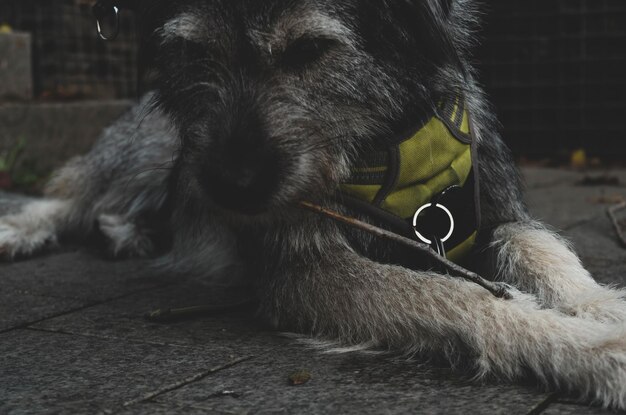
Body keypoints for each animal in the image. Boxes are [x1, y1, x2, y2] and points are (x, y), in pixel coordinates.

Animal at [1, 0, 624, 410]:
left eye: (309, 49)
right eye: (196, 52)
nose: (231, 186)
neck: (388, 149)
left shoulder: (494, 213)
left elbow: (542, 249)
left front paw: (600, 307)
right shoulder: (306, 271)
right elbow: (459, 296)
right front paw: (594, 351)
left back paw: (128, 234)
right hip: (154, 152)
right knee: (72, 195)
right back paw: (24, 231)